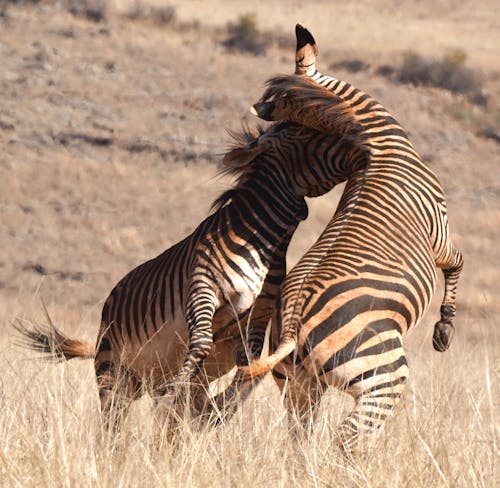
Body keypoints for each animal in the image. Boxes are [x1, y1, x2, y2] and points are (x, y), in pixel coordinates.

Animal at [15, 112, 368, 432]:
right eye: (305, 133)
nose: (360, 138)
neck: (264, 238)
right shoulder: (202, 286)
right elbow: (200, 342)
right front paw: (189, 390)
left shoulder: (258, 313)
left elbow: (249, 365)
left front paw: (220, 407)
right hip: (112, 372)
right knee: (113, 427)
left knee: (165, 424)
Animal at [236, 25, 462, 454]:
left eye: (291, 131)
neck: (380, 145)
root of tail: (291, 321)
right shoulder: (440, 235)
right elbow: (457, 265)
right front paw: (444, 331)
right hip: (380, 373)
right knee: (349, 440)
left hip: (299, 388)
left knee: (301, 443)